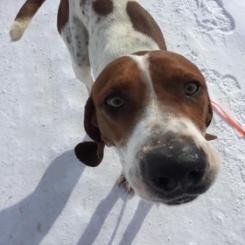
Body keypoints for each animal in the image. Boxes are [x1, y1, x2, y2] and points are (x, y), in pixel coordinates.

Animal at [9, 0, 220, 205]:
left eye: (191, 87)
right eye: (115, 101)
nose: (176, 165)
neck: (134, 50)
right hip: (78, 55)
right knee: (86, 78)